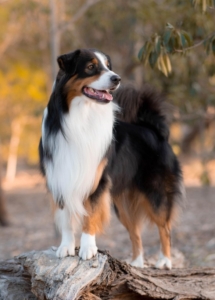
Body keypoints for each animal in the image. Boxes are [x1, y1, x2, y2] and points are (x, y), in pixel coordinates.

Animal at [39, 48, 185, 268]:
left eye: (108, 66)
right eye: (91, 66)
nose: (117, 78)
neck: (81, 115)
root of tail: (153, 129)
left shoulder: (96, 181)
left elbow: (90, 216)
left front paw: (88, 249)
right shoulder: (60, 176)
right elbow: (66, 217)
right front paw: (66, 246)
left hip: (156, 193)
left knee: (165, 228)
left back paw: (165, 261)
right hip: (122, 202)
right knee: (135, 233)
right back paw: (136, 263)